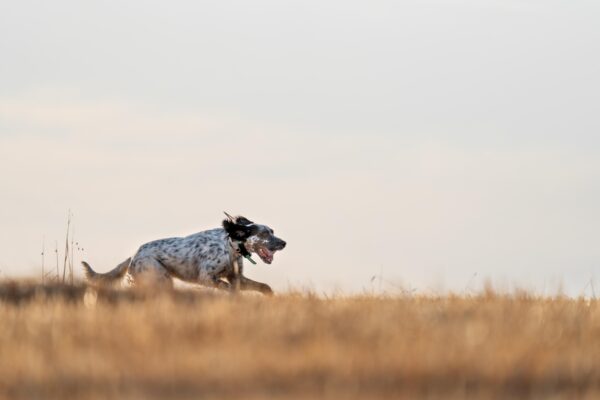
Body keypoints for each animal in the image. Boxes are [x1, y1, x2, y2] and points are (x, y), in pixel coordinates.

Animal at [81, 214, 286, 296]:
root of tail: (134, 256)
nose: (284, 243)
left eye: (272, 231)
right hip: (160, 277)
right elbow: (226, 287)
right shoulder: (206, 277)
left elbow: (264, 287)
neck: (230, 246)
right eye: (264, 234)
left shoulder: (237, 278)